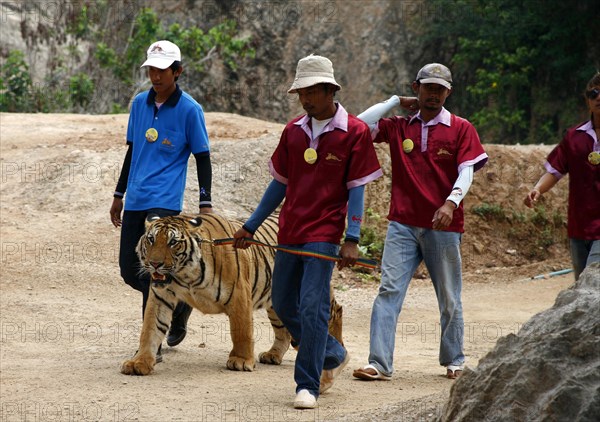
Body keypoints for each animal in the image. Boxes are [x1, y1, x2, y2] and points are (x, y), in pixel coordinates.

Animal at [120, 213, 342, 374]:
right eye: (151, 240)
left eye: (173, 243)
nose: (154, 263)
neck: (186, 275)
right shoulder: (161, 297)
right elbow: (150, 329)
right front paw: (139, 362)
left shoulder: (239, 294)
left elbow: (241, 330)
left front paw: (241, 361)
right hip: (277, 300)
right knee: (283, 330)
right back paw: (273, 355)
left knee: (335, 311)